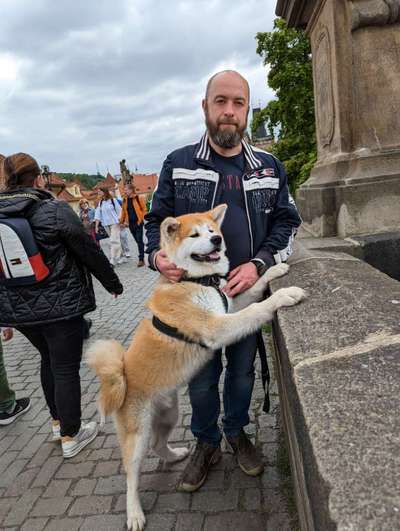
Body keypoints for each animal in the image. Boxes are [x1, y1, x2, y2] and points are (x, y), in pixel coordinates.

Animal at [87, 205, 304, 531]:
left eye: (213, 230)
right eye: (195, 235)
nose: (216, 240)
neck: (195, 281)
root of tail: (121, 377)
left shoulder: (229, 306)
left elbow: (252, 290)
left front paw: (273, 270)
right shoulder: (217, 326)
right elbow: (256, 309)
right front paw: (284, 294)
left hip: (168, 415)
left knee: (158, 445)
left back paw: (176, 454)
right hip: (136, 435)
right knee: (131, 475)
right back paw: (134, 513)